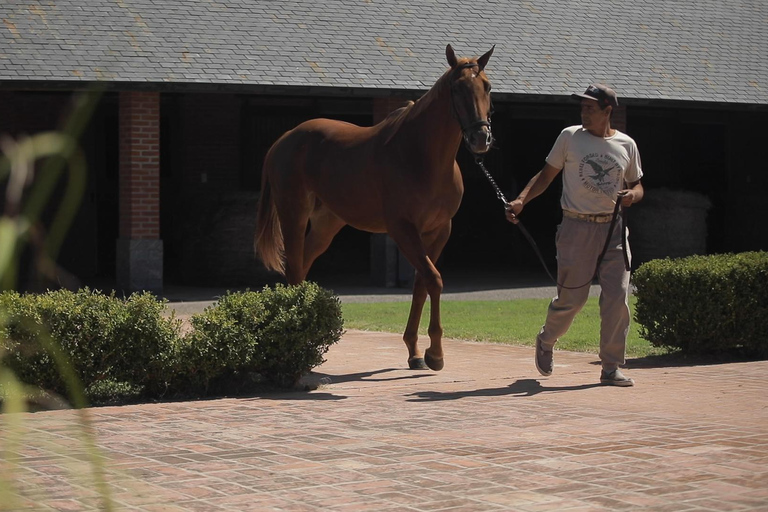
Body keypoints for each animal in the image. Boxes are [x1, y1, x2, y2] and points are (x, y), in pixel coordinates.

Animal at [256, 45, 498, 372]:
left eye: (487, 86)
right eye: (458, 88)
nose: (480, 138)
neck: (421, 157)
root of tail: (283, 140)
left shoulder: (439, 230)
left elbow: (422, 283)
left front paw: (415, 352)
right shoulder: (402, 229)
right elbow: (434, 279)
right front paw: (435, 353)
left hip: (326, 225)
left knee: (303, 266)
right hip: (293, 215)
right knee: (294, 268)